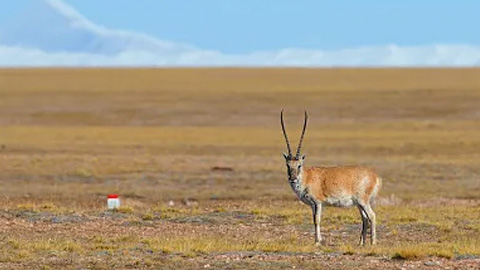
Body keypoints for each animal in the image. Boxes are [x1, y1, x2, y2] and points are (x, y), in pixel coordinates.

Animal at [280, 110, 380, 246]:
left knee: (372, 216)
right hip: (359, 204)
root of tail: (375, 176)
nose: (293, 179)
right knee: (365, 218)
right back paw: (360, 243)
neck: (307, 176)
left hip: (362, 202)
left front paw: (317, 242)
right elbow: (314, 220)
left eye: (299, 165)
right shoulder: (312, 205)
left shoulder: (317, 203)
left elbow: (316, 220)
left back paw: (372, 243)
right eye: (288, 165)